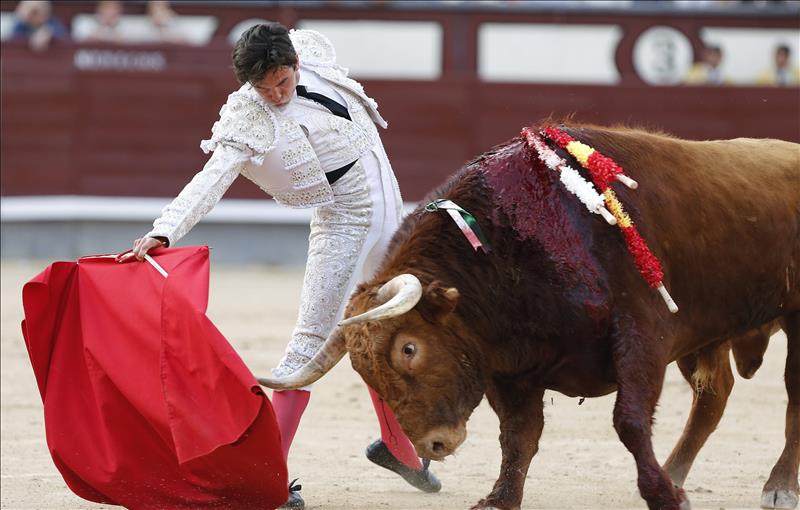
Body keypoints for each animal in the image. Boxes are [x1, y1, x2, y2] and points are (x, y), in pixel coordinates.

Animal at [260, 123, 796, 510]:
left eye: (410, 348)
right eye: (363, 370)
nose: (432, 445)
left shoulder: (642, 334)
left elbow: (628, 421)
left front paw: (662, 496)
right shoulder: (509, 365)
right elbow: (518, 436)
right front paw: (500, 500)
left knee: (789, 398)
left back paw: (777, 487)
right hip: (708, 335)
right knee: (713, 395)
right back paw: (679, 473)